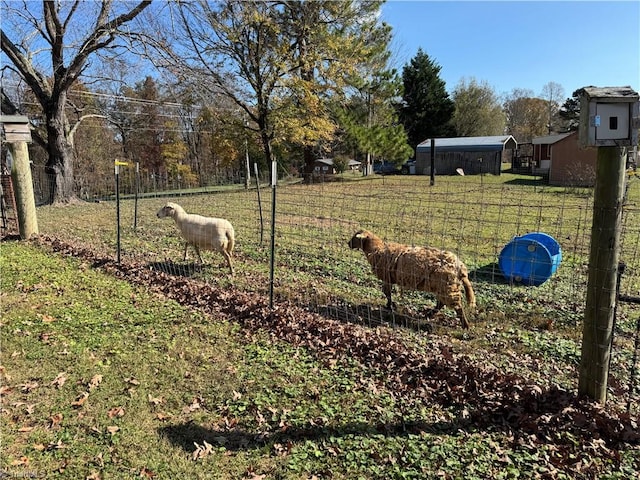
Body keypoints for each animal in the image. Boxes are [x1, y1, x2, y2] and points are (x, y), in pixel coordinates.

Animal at [348, 230, 478, 328]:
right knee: (441, 304)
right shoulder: (389, 278)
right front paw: (391, 305)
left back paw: (465, 326)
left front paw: (390, 306)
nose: (348, 243)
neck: (377, 249)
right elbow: (387, 293)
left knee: (456, 306)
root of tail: (461, 268)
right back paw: (428, 315)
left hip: (447, 286)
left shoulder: (386, 277)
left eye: (355, 237)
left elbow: (387, 293)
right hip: (443, 286)